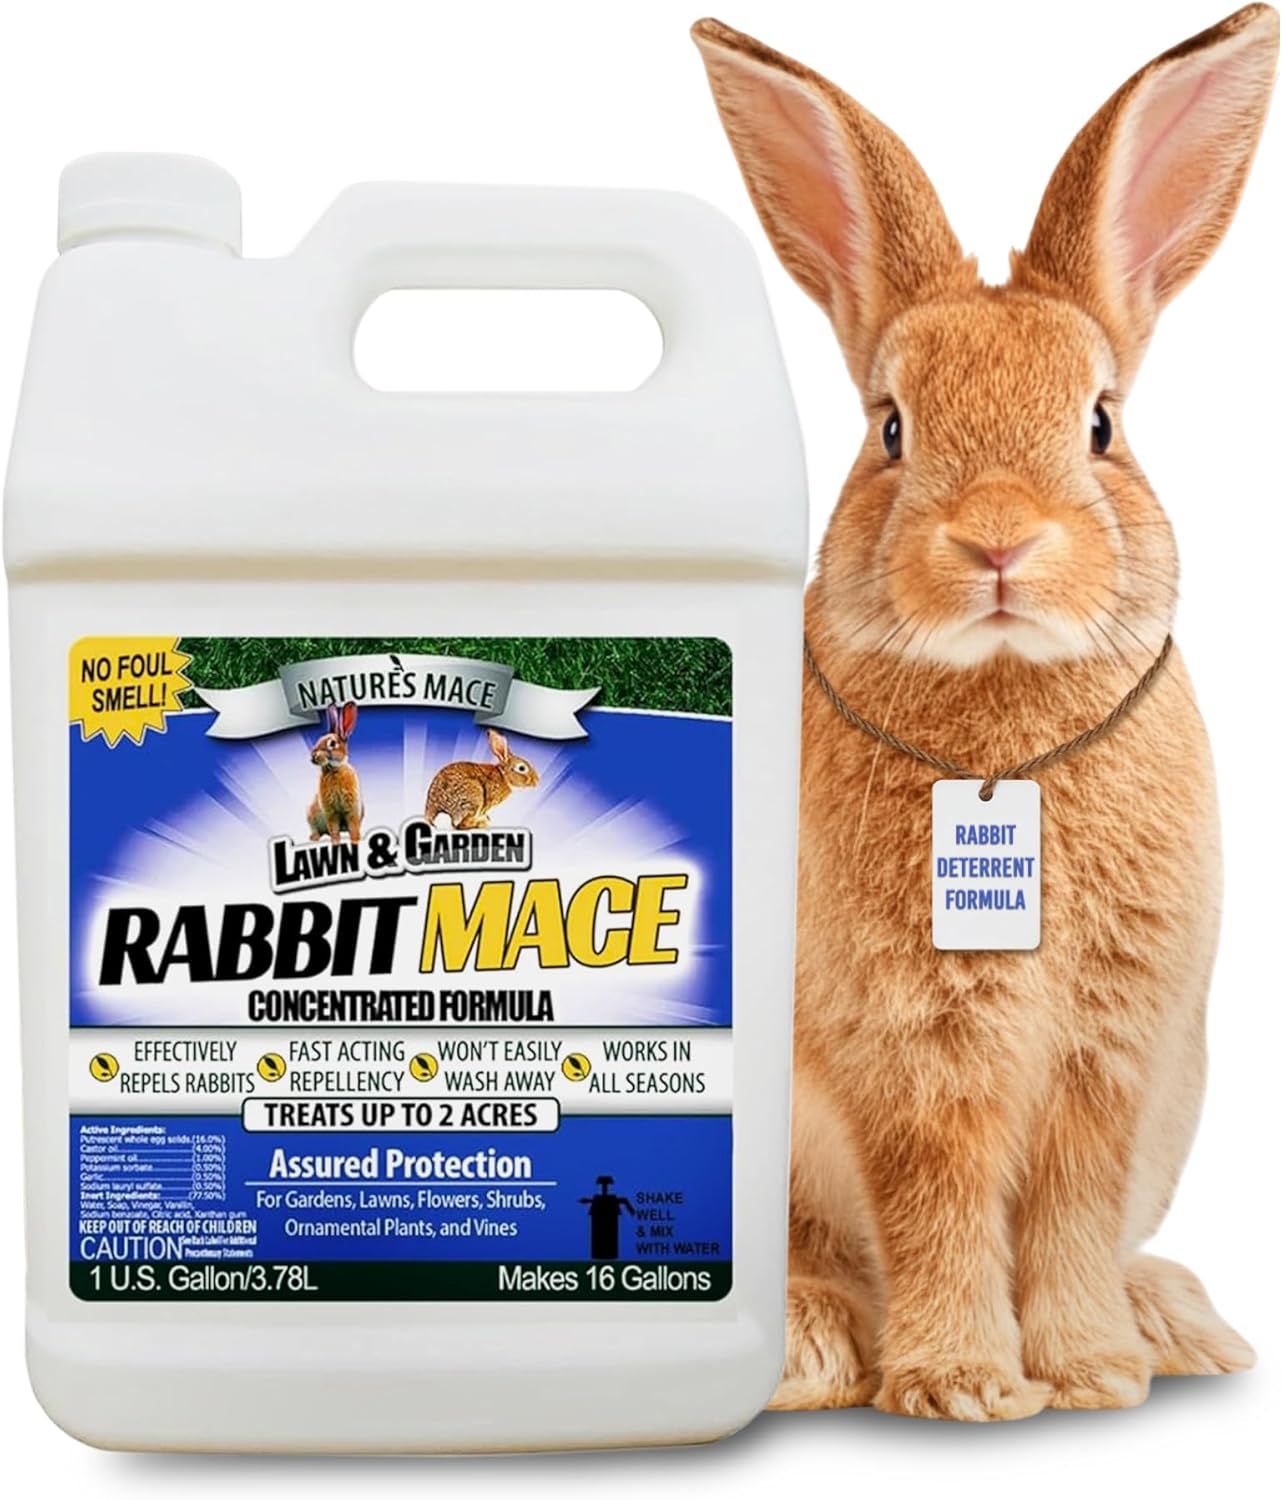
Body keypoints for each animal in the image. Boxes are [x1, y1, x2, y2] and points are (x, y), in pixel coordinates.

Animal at [307, 701, 364, 842]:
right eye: (319, 739)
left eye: (332, 743)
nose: (313, 756)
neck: (333, 770)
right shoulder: (330, 812)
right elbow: (333, 829)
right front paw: (335, 842)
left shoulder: (352, 810)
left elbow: (353, 827)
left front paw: (356, 840)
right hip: (311, 815)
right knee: (315, 828)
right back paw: (314, 837)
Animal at [694, 5, 1275, 1420]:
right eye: (890, 428)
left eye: (1103, 424)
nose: (998, 541)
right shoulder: (911, 1057)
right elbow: (937, 1204)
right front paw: (964, 1382)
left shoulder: (1109, 1061)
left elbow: (1069, 1206)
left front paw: (1092, 1371)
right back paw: (809, 1350)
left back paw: (1174, 1324)